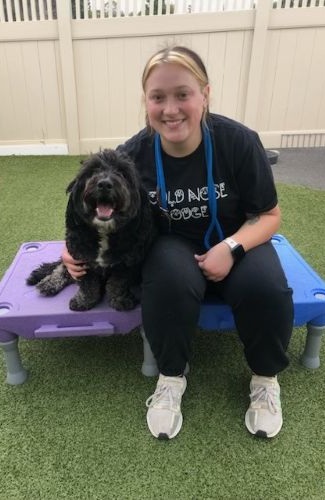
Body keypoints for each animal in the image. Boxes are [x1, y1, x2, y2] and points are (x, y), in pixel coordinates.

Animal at [26, 150, 156, 310]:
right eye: (93, 171)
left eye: (122, 173)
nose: (105, 184)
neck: (104, 232)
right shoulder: (81, 257)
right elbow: (88, 284)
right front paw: (84, 301)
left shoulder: (127, 262)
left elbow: (118, 283)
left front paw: (119, 300)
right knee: (63, 267)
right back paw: (49, 283)